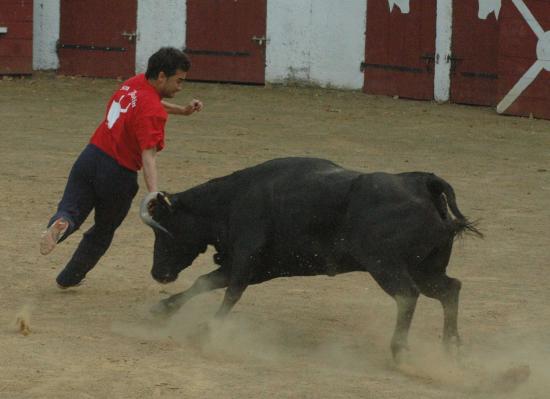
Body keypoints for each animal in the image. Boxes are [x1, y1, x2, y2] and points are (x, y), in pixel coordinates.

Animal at [142, 158, 484, 360]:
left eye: (165, 230)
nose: (158, 274)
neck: (231, 200)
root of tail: (423, 183)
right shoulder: (260, 267)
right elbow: (206, 281)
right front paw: (163, 309)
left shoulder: (246, 257)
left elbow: (231, 292)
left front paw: (207, 330)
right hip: (425, 267)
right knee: (450, 289)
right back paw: (450, 347)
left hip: (384, 264)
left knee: (407, 295)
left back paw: (400, 350)